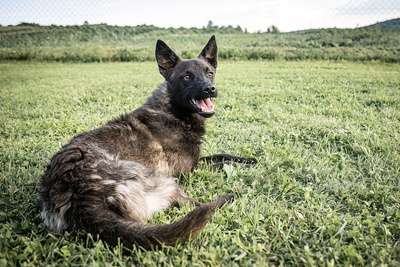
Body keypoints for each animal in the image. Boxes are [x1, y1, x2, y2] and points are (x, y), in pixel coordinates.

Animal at [37, 35, 256, 249]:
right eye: (187, 77)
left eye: (209, 73)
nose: (210, 89)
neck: (174, 111)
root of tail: (79, 195)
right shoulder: (187, 170)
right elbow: (221, 163)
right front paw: (241, 167)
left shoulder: (196, 159)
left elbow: (221, 155)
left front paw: (248, 159)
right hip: (164, 180)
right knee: (197, 205)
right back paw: (229, 197)